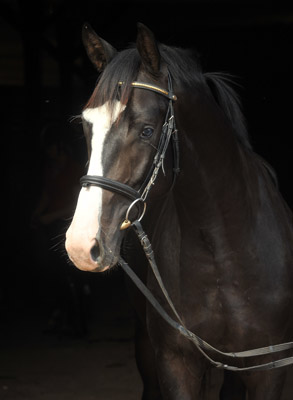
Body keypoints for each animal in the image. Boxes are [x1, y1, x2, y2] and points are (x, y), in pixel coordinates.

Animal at [65, 22, 292, 400]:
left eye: (146, 130)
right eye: (86, 125)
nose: (82, 246)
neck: (223, 251)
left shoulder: (269, 369)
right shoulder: (176, 363)